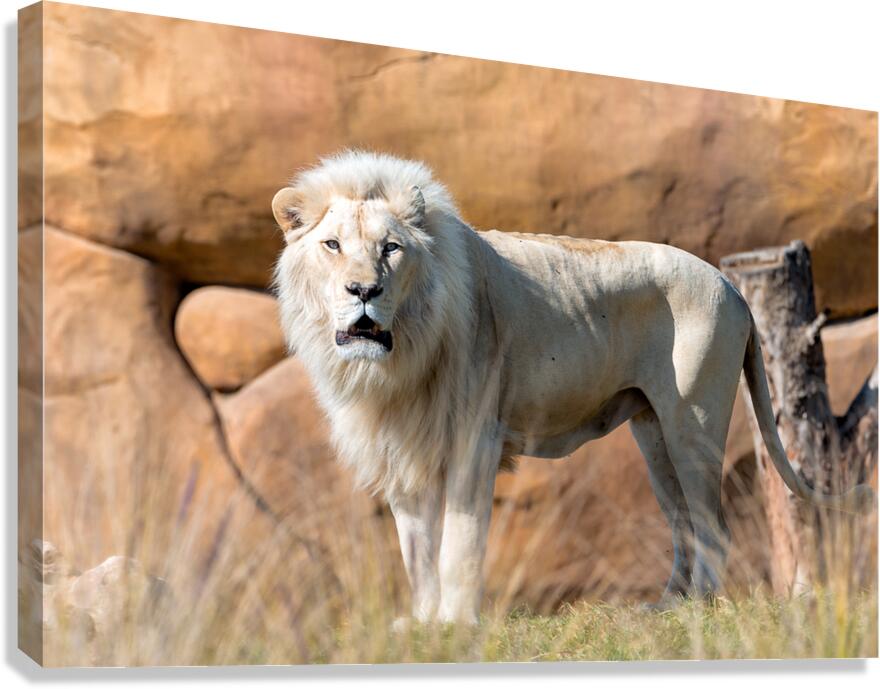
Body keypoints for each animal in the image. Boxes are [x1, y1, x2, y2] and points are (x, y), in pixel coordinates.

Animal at [271, 150, 873, 625]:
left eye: (391, 248)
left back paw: (699, 609)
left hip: (693, 422)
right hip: (654, 432)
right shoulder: (402, 447)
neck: (396, 363)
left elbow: (459, 543)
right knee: (682, 522)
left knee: (713, 525)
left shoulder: (475, 438)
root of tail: (731, 284)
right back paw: (666, 608)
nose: (363, 291)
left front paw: (457, 624)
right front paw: (422, 626)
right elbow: (416, 548)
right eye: (332, 245)